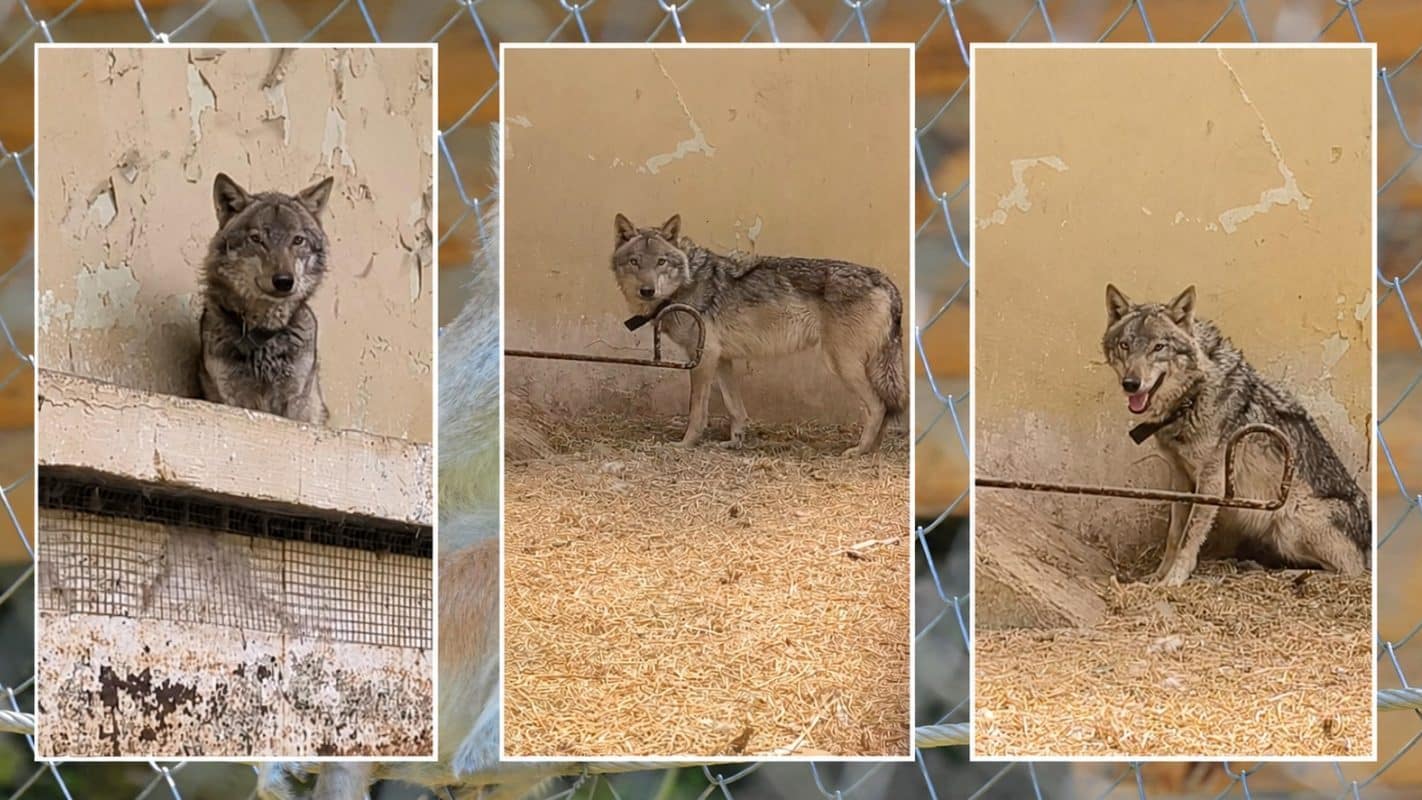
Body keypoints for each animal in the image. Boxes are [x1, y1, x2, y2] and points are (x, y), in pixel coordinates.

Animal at [197, 172, 334, 425]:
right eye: (256, 238)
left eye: (298, 240)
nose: (284, 281)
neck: (265, 335)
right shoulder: (232, 398)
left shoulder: (295, 400)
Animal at [610, 214, 908, 455]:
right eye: (635, 262)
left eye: (661, 262)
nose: (647, 291)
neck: (685, 284)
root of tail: (886, 282)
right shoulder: (721, 359)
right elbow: (735, 408)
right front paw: (735, 442)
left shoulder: (703, 358)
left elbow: (697, 412)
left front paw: (685, 444)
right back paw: (872, 449)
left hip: (841, 365)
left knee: (879, 406)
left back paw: (859, 450)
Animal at [1102, 284, 1369, 586]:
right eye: (1125, 345)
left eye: (1159, 347)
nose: (1131, 384)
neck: (1192, 398)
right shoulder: (1180, 477)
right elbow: (1173, 535)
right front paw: (1157, 576)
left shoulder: (1211, 482)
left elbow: (1189, 537)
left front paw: (1174, 580)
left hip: (1288, 522)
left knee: (1349, 571)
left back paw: (1286, 574)